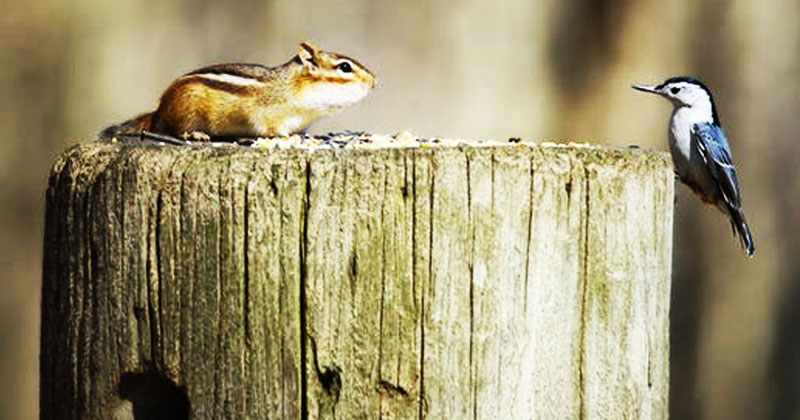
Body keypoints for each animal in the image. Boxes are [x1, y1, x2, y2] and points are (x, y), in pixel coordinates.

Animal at [99, 42, 376, 141]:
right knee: (175, 130)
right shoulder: (270, 116)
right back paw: (195, 135)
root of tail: (158, 111)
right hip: (186, 112)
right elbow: (273, 130)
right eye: (345, 67)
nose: (374, 82)